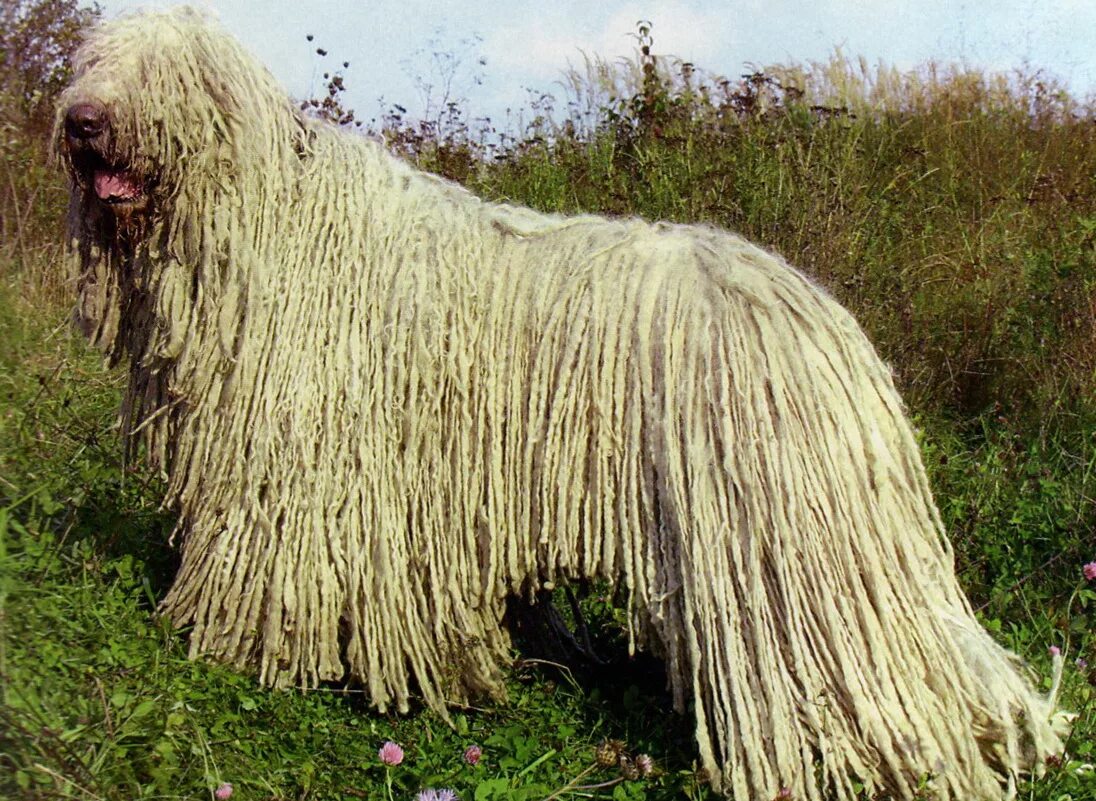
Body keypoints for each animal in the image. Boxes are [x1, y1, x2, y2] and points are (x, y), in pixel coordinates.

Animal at [55, 7, 1065, 801]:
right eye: (92, 58)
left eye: (165, 70)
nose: (81, 119)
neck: (262, 226)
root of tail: (827, 328)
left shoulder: (303, 474)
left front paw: (248, 651)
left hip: (785, 551)